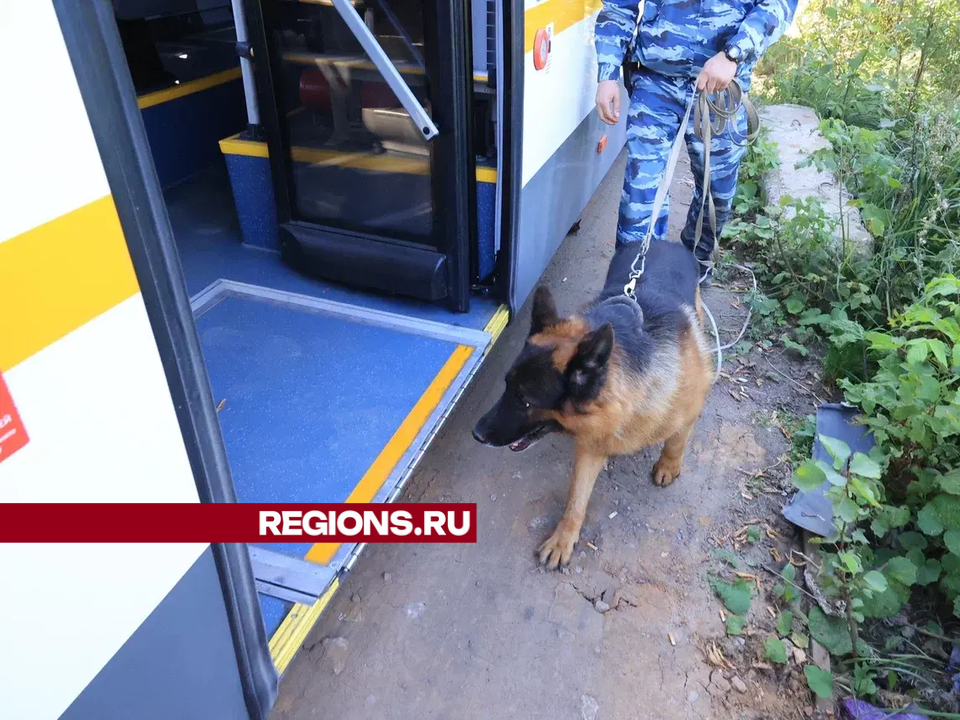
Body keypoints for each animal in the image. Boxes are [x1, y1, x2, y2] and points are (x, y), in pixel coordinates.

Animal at [472, 242, 712, 568]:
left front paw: (668, 465)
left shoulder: (688, 410)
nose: (476, 434)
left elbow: (676, 442)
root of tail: (665, 242)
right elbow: (576, 497)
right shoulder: (589, 447)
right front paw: (563, 538)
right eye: (506, 386)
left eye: (525, 400)